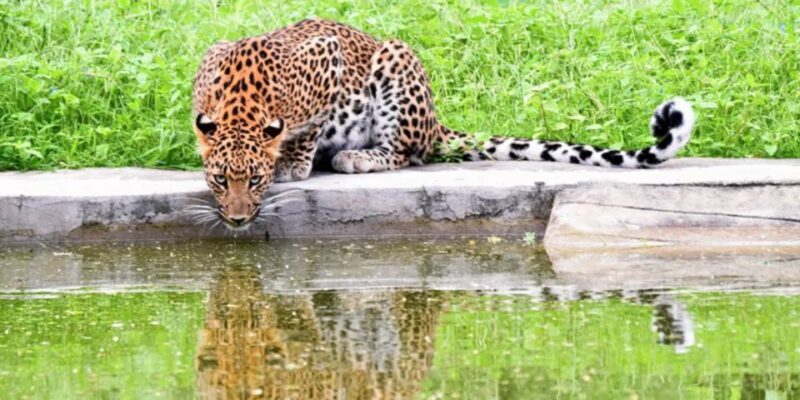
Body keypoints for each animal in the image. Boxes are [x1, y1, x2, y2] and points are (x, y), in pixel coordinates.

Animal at [192, 19, 696, 229]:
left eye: (255, 181)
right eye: (219, 180)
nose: (237, 219)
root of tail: (437, 122)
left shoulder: (327, 58)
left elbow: (308, 128)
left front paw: (293, 163)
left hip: (396, 60)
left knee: (406, 153)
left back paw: (356, 156)